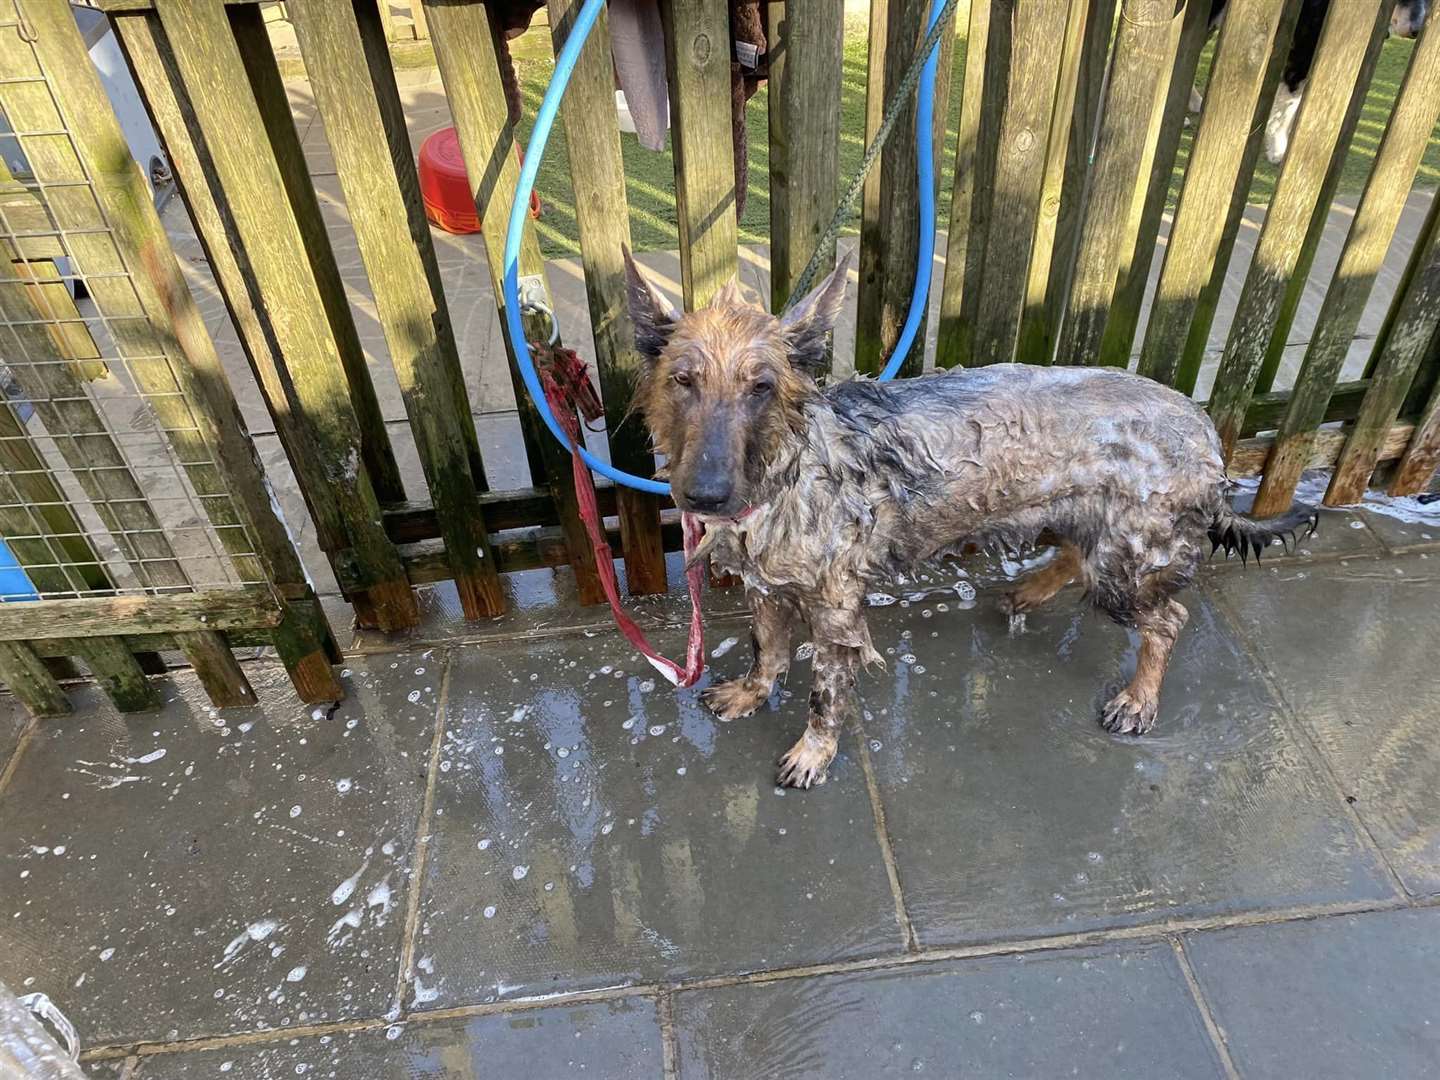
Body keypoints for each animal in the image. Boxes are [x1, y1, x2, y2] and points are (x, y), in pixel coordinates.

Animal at [624, 250, 1313, 789]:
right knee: (1074, 556)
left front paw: (813, 753)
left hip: (1128, 560)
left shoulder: (835, 609)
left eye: (760, 387)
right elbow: (767, 649)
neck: (787, 467)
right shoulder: (767, 586)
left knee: (1167, 620)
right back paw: (1027, 592)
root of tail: (1206, 432)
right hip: (1080, 517)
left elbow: (825, 694)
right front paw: (752, 692)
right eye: (683, 380)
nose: (705, 495)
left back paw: (1137, 699)